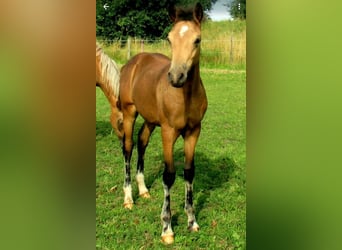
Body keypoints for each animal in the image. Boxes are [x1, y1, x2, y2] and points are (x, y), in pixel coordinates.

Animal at [117, 1, 208, 244]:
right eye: (169, 39)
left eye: (197, 40)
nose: (176, 76)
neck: (185, 96)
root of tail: (134, 61)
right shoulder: (168, 132)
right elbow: (169, 176)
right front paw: (167, 228)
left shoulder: (193, 131)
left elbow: (189, 172)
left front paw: (192, 221)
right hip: (129, 112)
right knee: (128, 147)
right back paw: (128, 198)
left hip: (150, 119)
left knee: (142, 141)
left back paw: (143, 189)